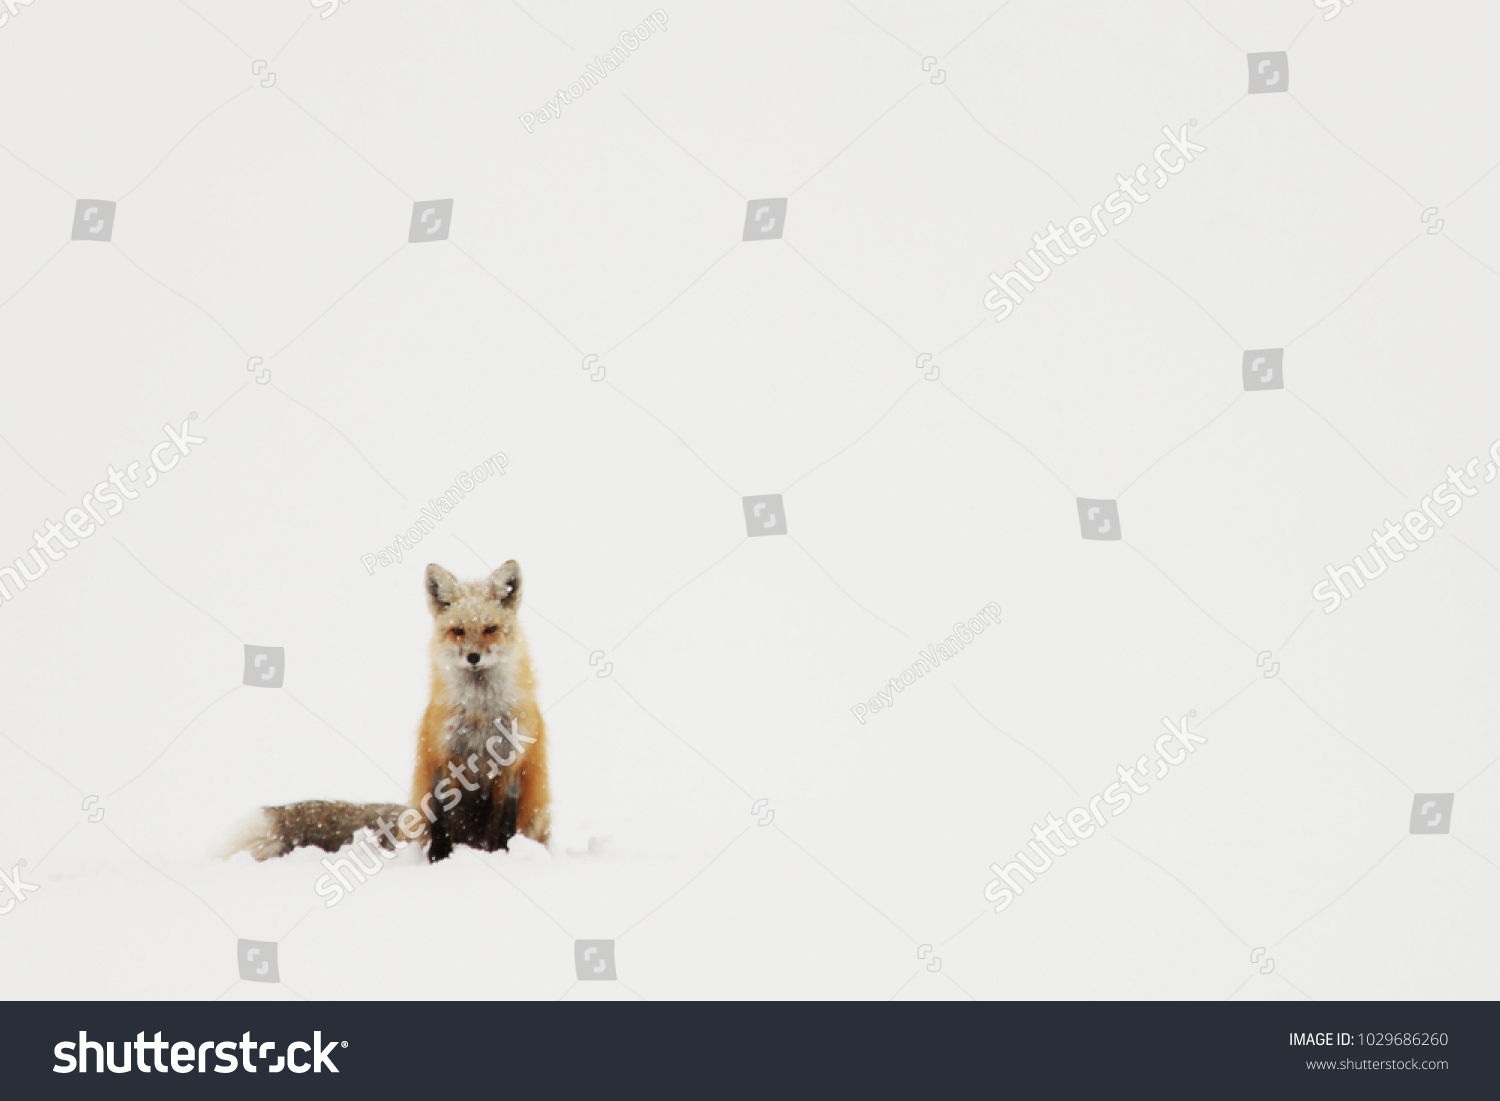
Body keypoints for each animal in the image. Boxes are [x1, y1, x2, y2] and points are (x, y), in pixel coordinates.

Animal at [223, 561, 551, 863]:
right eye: (458, 631)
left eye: (490, 629)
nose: (473, 657)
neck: (480, 714)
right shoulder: (441, 758)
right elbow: (442, 821)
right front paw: (439, 861)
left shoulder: (512, 763)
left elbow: (505, 824)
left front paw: (503, 856)